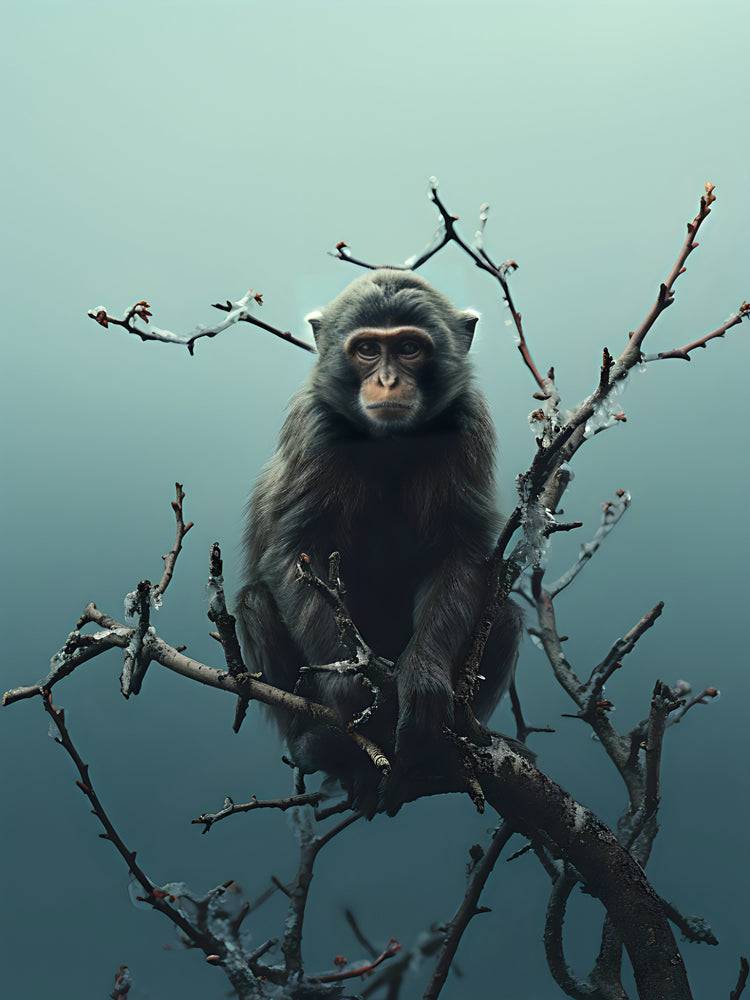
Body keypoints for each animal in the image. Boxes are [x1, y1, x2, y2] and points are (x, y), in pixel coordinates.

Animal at [235, 268, 522, 803]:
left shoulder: (469, 423)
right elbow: (296, 553)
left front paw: (424, 679)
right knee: (254, 601)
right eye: (368, 349)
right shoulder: (313, 428)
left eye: (409, 348)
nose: (387, 380)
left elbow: (459, 555)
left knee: (508, 614)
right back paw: (326, 746)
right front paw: (347, 687)